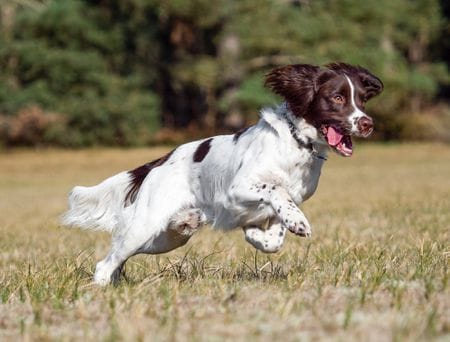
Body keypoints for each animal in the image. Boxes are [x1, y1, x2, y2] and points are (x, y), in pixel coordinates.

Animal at [60, 62, 384, 286]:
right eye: (337, 98)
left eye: (361, 100)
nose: (367, 123)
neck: (296, 145)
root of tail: (161, 161)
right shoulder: (237, 188)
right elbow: (276, 190)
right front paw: (297, 222)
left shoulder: (288, 200)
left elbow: (275, 234)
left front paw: (259, 235)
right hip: (144, 227)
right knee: (106, 262)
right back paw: (101, 290)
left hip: (166, 238)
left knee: (118, 258)